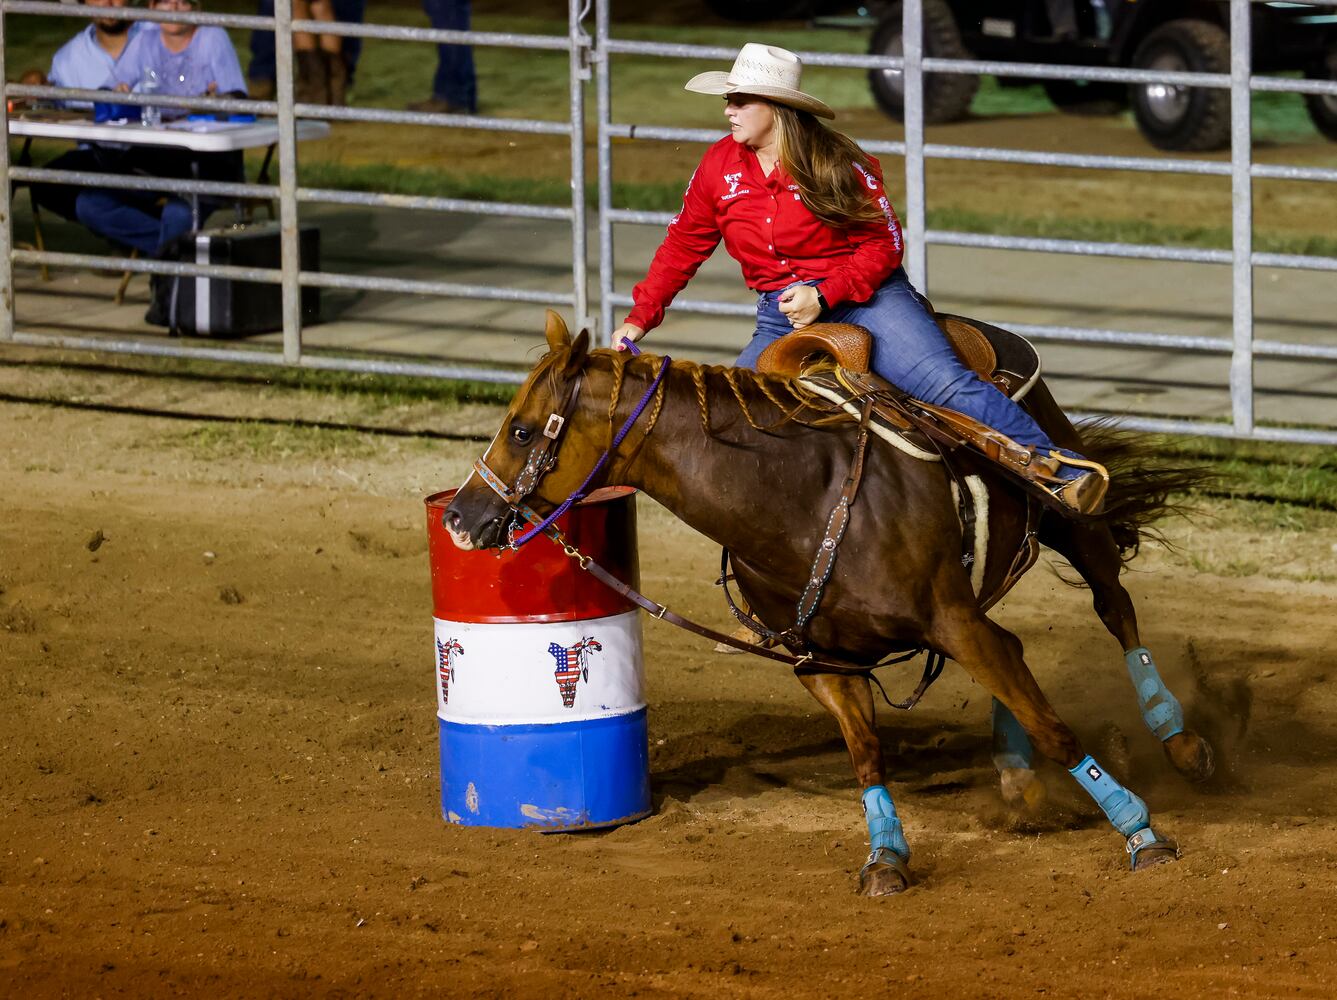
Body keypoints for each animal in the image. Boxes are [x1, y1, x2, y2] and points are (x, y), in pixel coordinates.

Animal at [446, 314, 1213, 898]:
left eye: (521, 430)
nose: (458, 516)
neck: (797, 497)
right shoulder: (825, 661)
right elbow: (867, 756)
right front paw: (885, 858)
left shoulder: (953, 621)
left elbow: (1055, 728)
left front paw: (1140, 831)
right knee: (1018, 652)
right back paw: (1019, 783)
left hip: (1072, 524)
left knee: (1114, 608)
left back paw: (1178, 739)